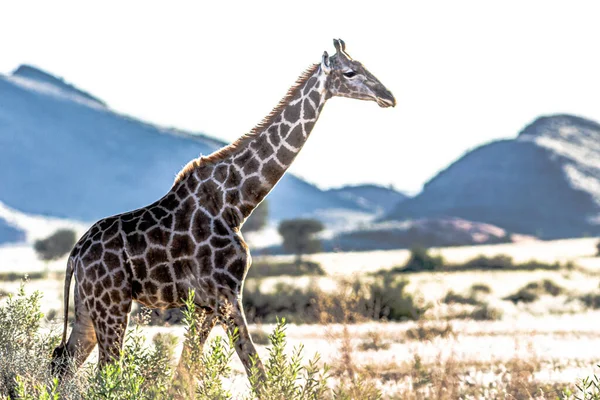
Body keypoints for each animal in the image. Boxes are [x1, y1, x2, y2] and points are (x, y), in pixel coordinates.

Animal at [51, 38, 396, 384]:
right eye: (350, 72)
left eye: (364, 65)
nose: (389, 97)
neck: (235, 203)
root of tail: (75, 253)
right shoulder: (226, 294)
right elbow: (256, 372)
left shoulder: (206, 304)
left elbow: (183, 374)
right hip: (112, 303)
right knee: (105, 371)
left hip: (88, 306)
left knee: (63, 362)